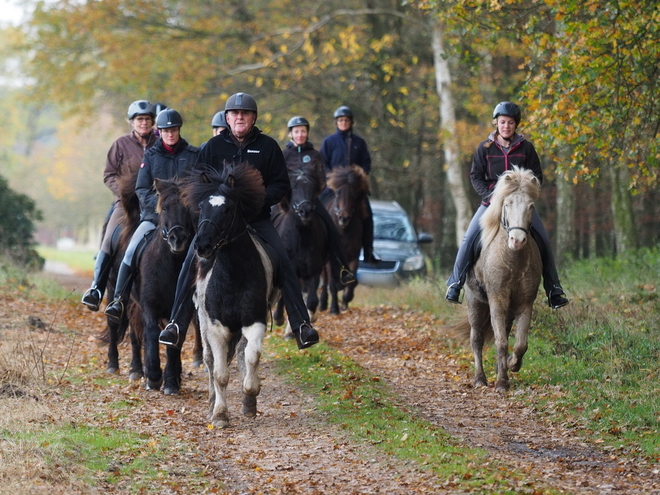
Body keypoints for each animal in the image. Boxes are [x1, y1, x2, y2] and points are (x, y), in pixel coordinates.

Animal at [127, 178, 200, 396]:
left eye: (188, 208)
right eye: (165, 207)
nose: (178, 238)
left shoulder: (183, 308)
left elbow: (177, 338)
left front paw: (171, 381)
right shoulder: (149, 305)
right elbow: (151, 334)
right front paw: (153, 377)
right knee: (137, 333)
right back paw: (137, 370)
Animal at [183, 164, 282, 430]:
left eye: (227, 209)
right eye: (202, 207)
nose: (202, 246)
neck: (233, 274)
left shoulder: (254, 321)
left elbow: (251, 356)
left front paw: (250, 393)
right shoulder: (216, 327)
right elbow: (220, 373)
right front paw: (219, 415)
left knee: (239, 353)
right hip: (204, 323)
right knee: (211, 361)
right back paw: (211, 403)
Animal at [270, 158, 328, 338]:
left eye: (313, 187)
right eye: (294, 187)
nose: (305, 211)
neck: (301, 237)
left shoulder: (313, 271)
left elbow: (311, 300)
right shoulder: (290, 270)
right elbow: (285, 298)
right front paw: (279, 318)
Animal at [320, 166, 372, 314]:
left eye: (354, 195)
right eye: (337, 194)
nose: (343, 218)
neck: (342, 230)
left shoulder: (353, 256)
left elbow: (352, 278)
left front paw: (346, 299)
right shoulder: (330, 258)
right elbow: (331, 283)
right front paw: (334, 308)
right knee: (325, 279)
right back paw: (323, 304)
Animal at [456, 169, 544, 394]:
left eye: (531, 206)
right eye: (507, 204)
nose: (517, 240)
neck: (513, 260)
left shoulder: (525, 303)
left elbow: (520, 344)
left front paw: (512, 365)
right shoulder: (496, 300)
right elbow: (501, 342)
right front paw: (502, 382)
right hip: (475, 302)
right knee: (476, 339)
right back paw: (480, 378)